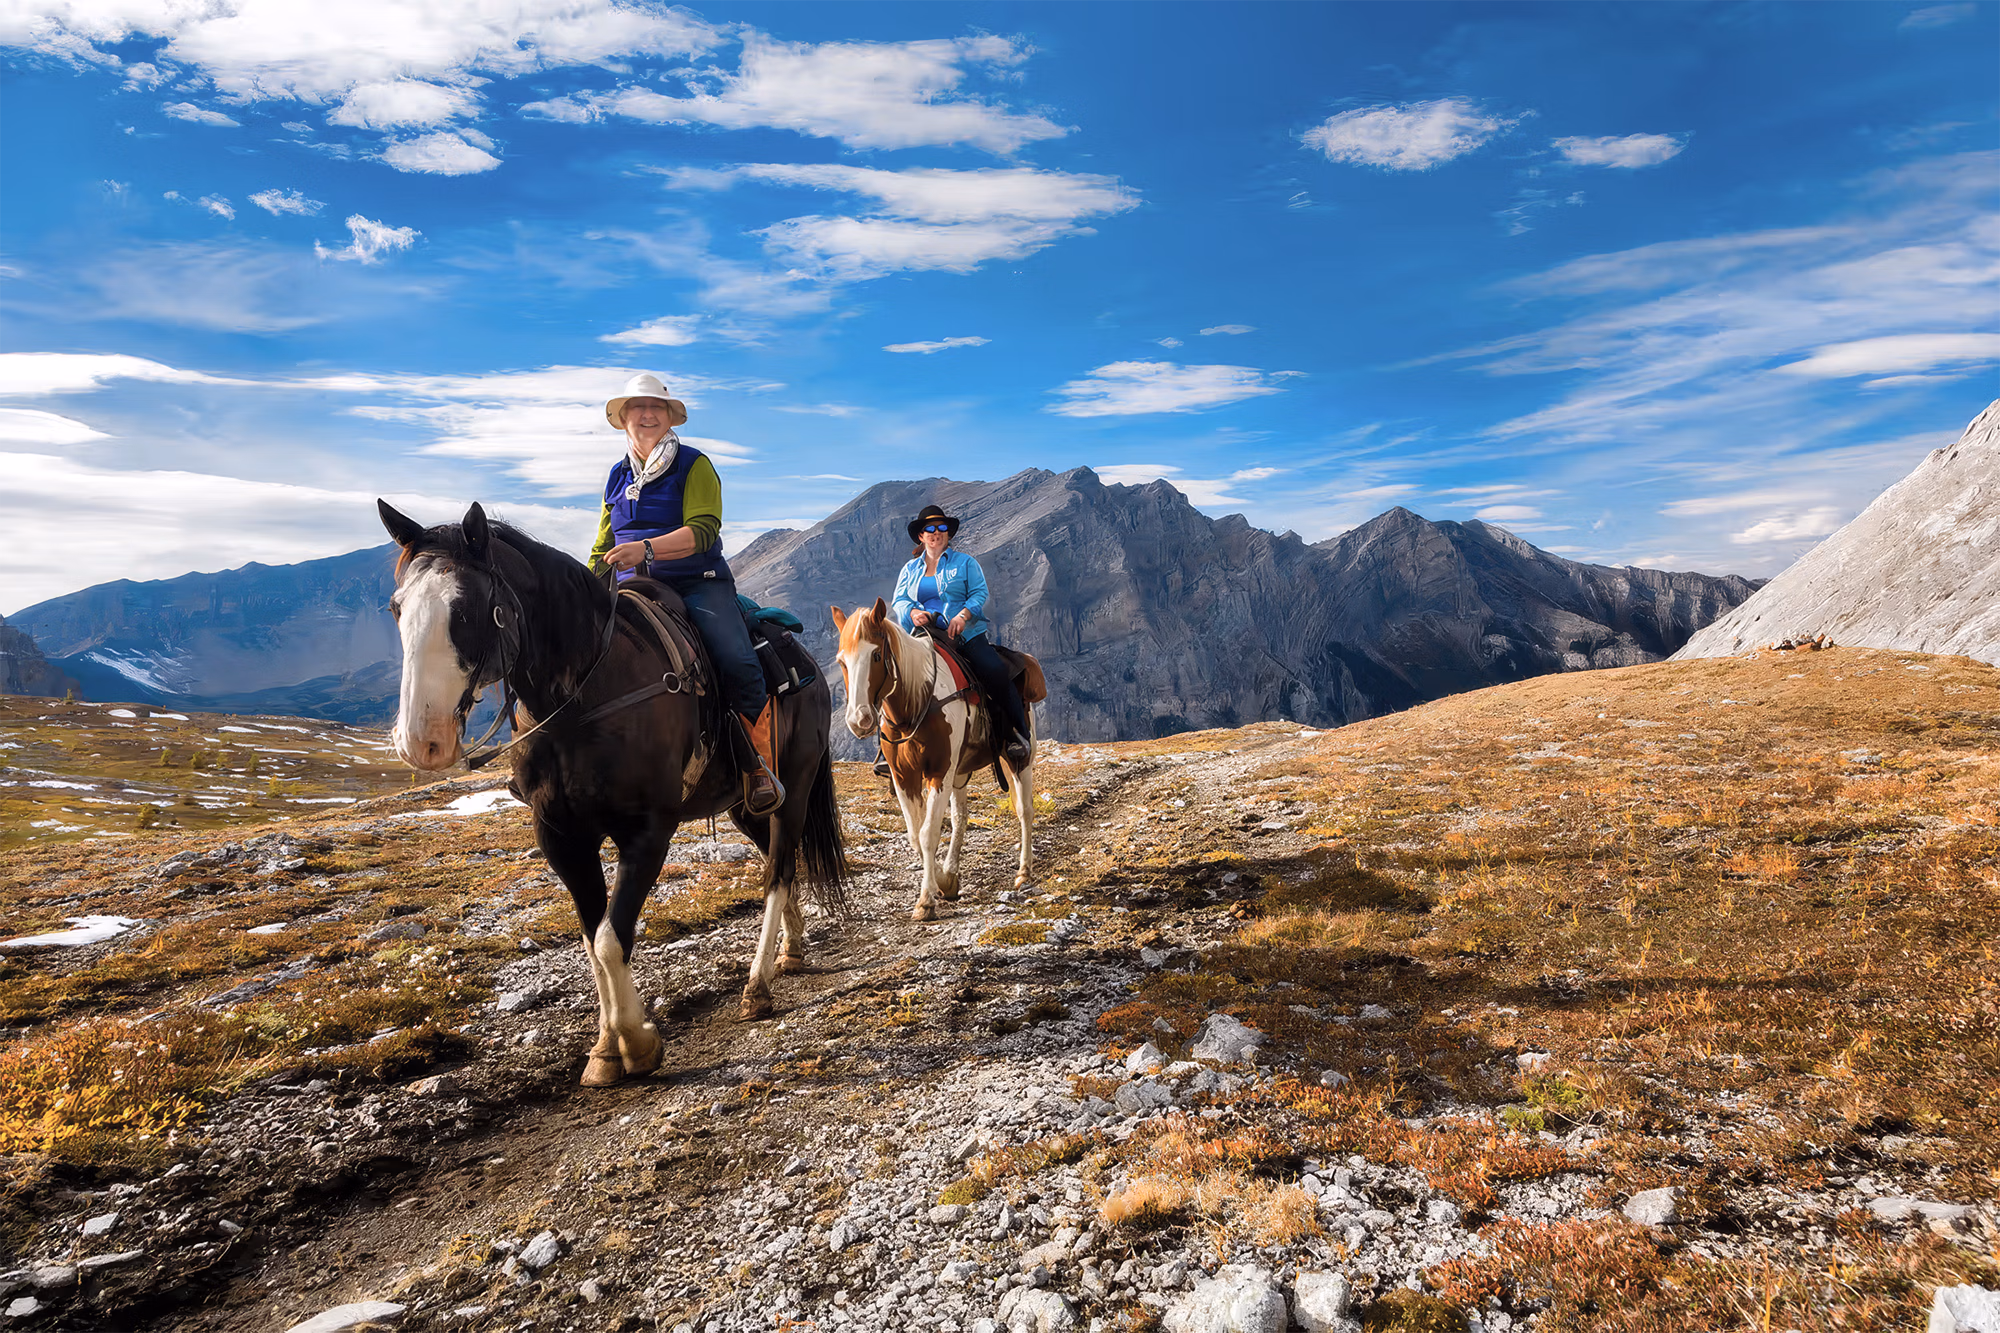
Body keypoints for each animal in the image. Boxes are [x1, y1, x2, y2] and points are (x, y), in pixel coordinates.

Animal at [378, 500, 847, 1084]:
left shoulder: (647, 832)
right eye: (397, 608)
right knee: (777, 863)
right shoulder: (561, 838)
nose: (420, 741)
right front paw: (606, 1049)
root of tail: (806, 662)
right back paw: (792, 950)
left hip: (796, 787)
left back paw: (757, 987)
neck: (582, 698)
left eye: (466, 610)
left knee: (778, 871)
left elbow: (609, 937)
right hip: (746, 805)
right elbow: (591, 938)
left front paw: (637, 1044)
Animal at [830, 598, 1045, 920]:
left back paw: (1023, 872)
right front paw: (944, 882)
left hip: (1019, 759)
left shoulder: (939, 771)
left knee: (1024, 810)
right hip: (960, 772)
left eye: (877, 655)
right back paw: (953, 870)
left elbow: (929, 832)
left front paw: (925, 901)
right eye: (842, 661)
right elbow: (915, 835)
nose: (859, 720)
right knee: (960, 818)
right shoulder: (903, 776)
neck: (916, 703)